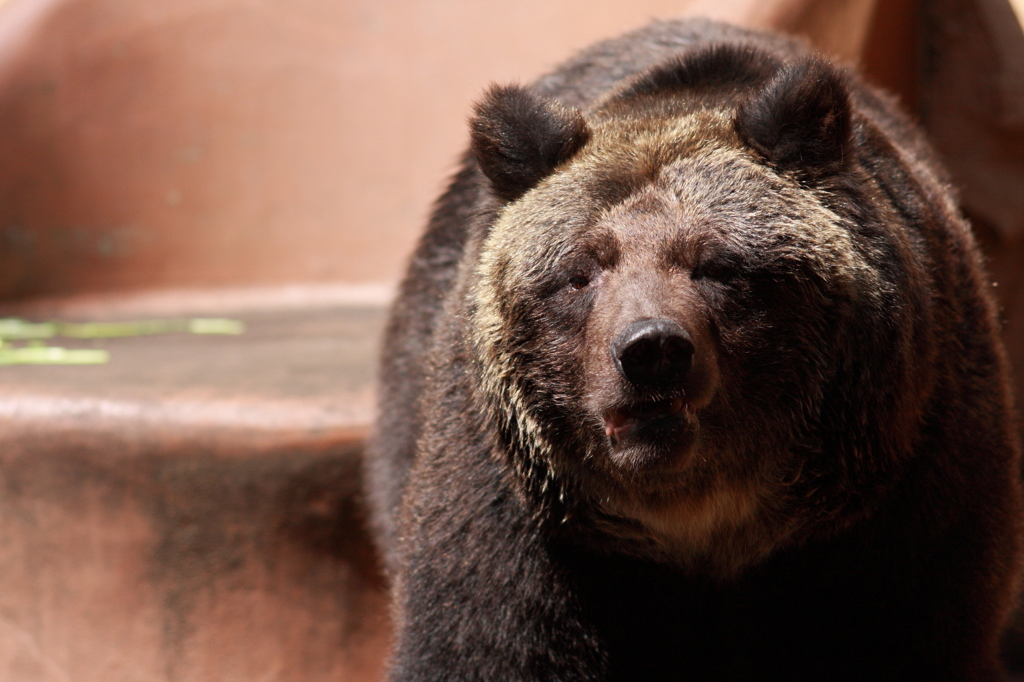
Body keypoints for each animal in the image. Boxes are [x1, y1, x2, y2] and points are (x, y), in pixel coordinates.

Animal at [364, 17, 1019, 679]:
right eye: (580, 272)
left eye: (716, 264)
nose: (651, 351)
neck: (705, 520)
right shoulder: (525, 516)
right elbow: (487, 642)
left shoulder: (900, 492)